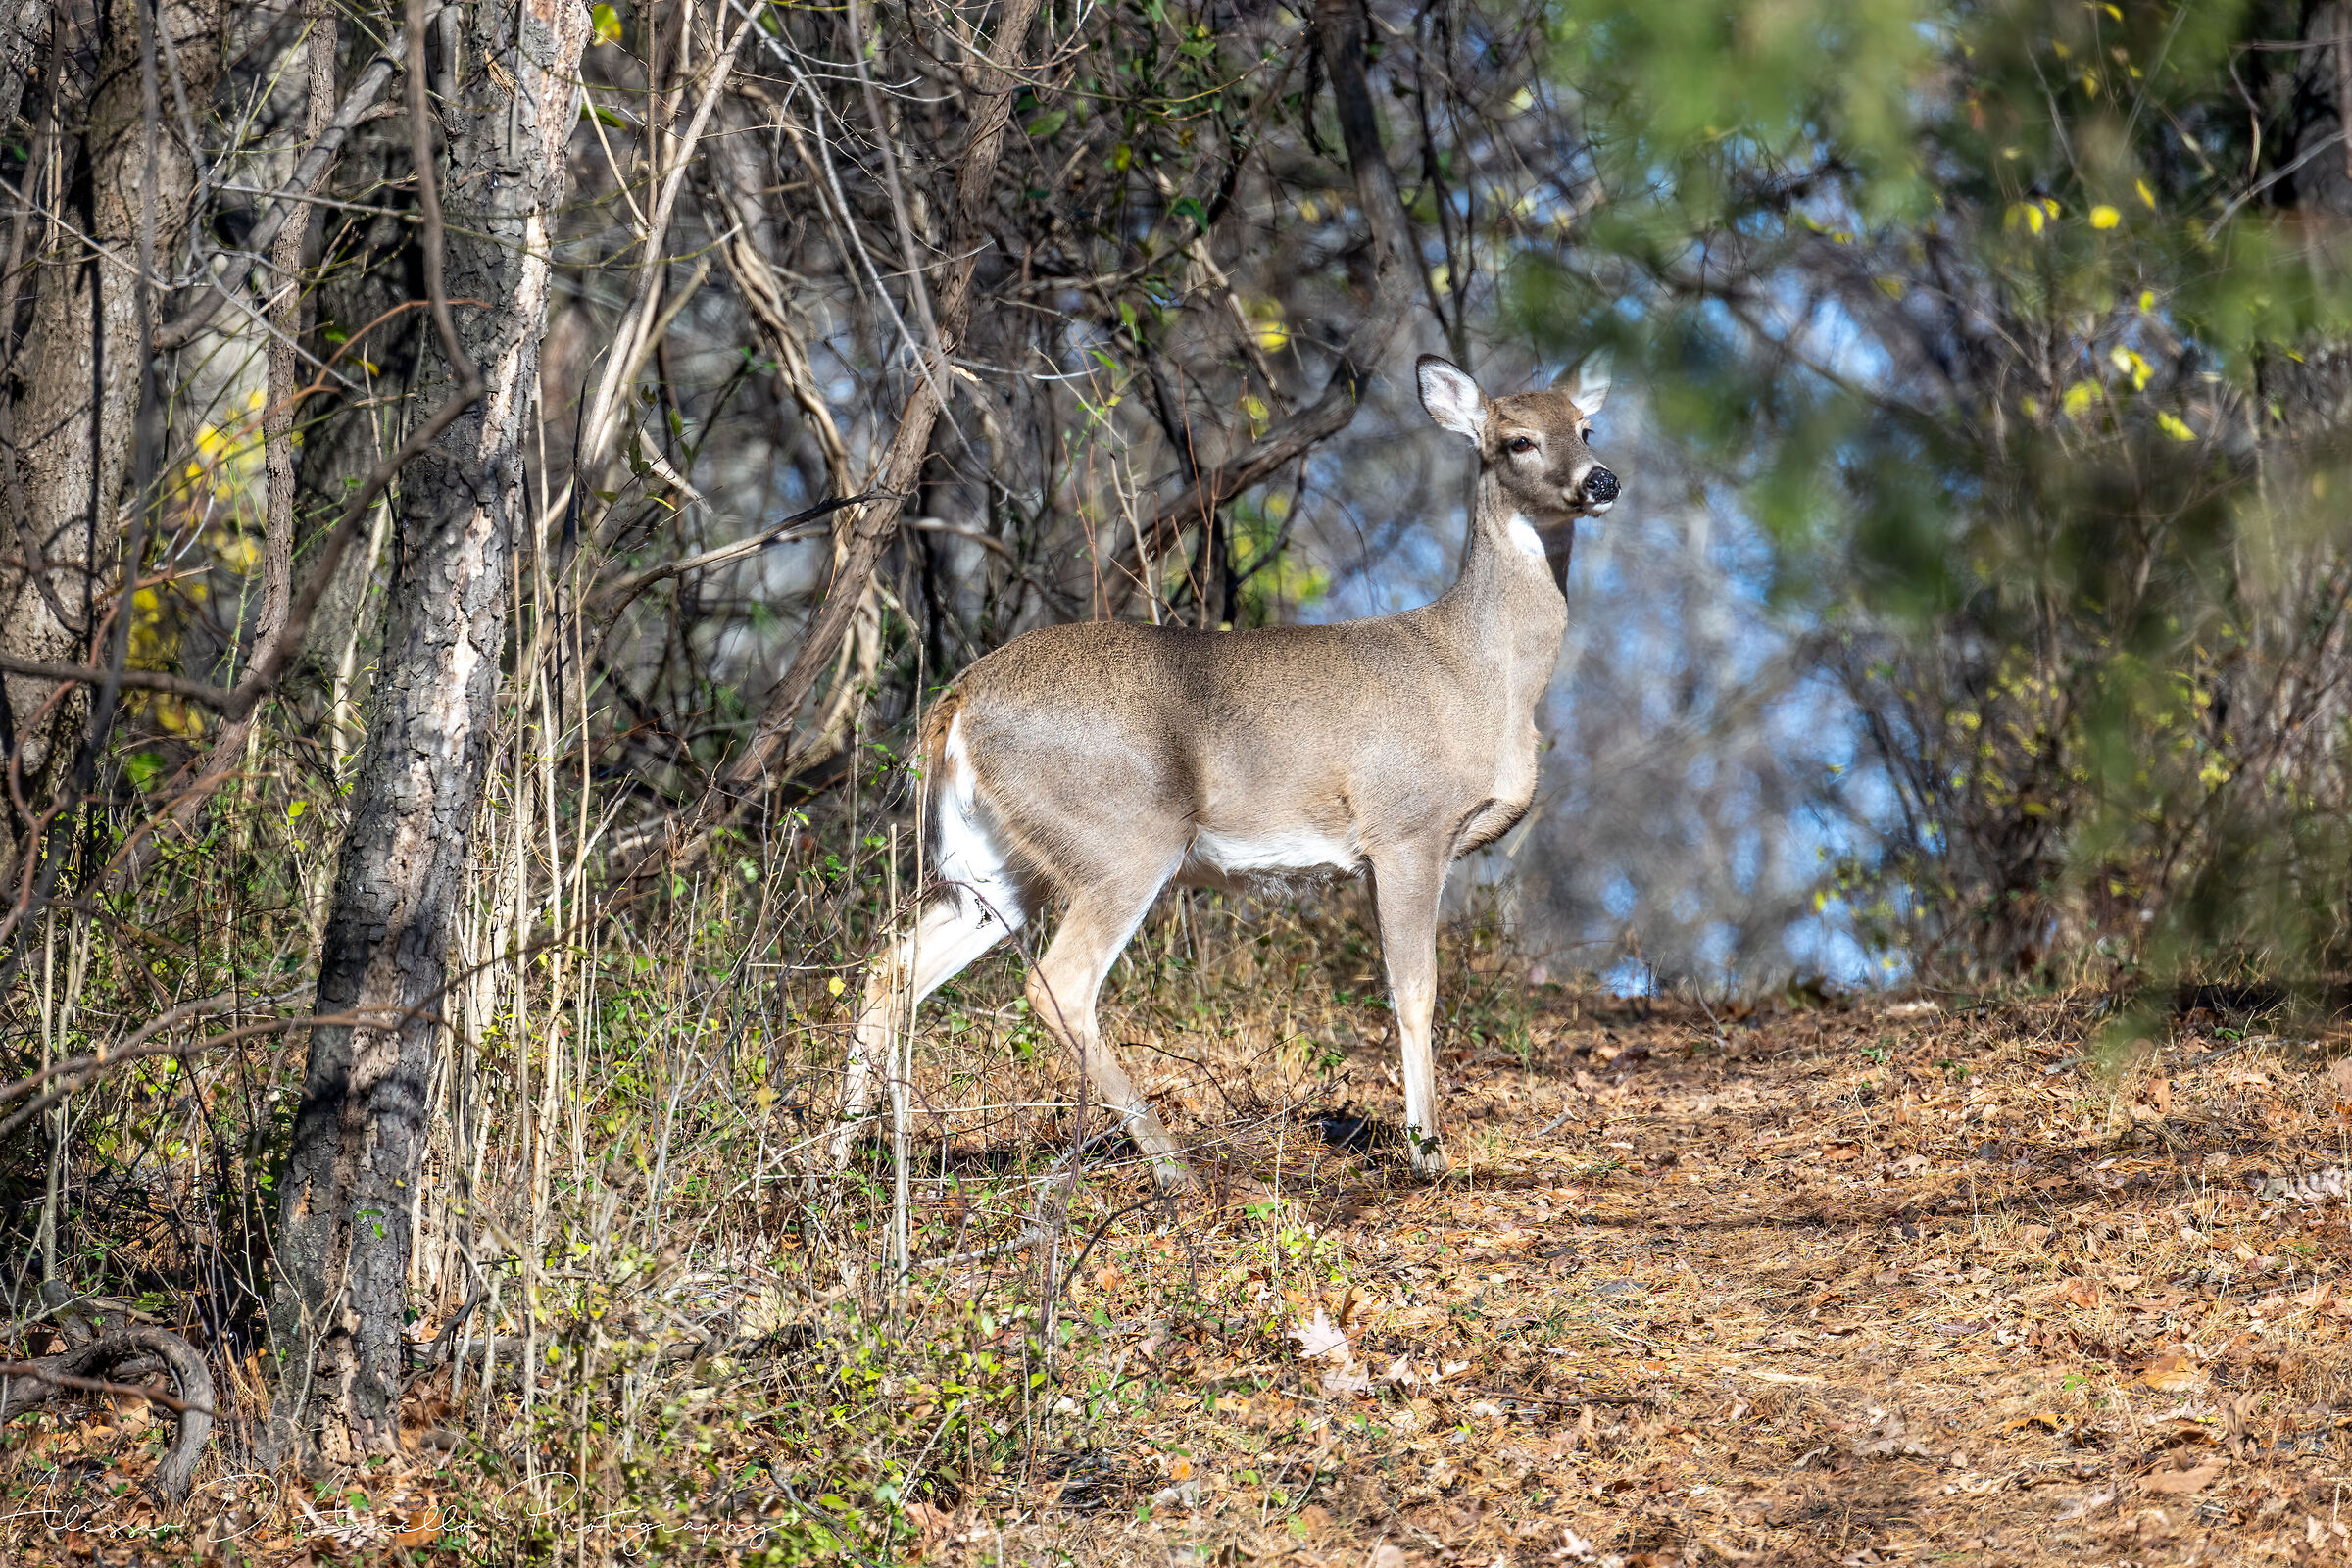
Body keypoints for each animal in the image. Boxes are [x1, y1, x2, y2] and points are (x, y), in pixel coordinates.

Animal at [829, 352, 1618, 1187]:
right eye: (1517, 439)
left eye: (1587, 428)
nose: (1602, 480)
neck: (1481, 674)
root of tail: (959, 701)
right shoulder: (1408, 828)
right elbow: (1415, 992)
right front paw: (1427, 1152)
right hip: (1124, 837)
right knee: (1056, 984)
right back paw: (1174, 1166)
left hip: (1003, 861)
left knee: (892, 968)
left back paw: (839, 1162)